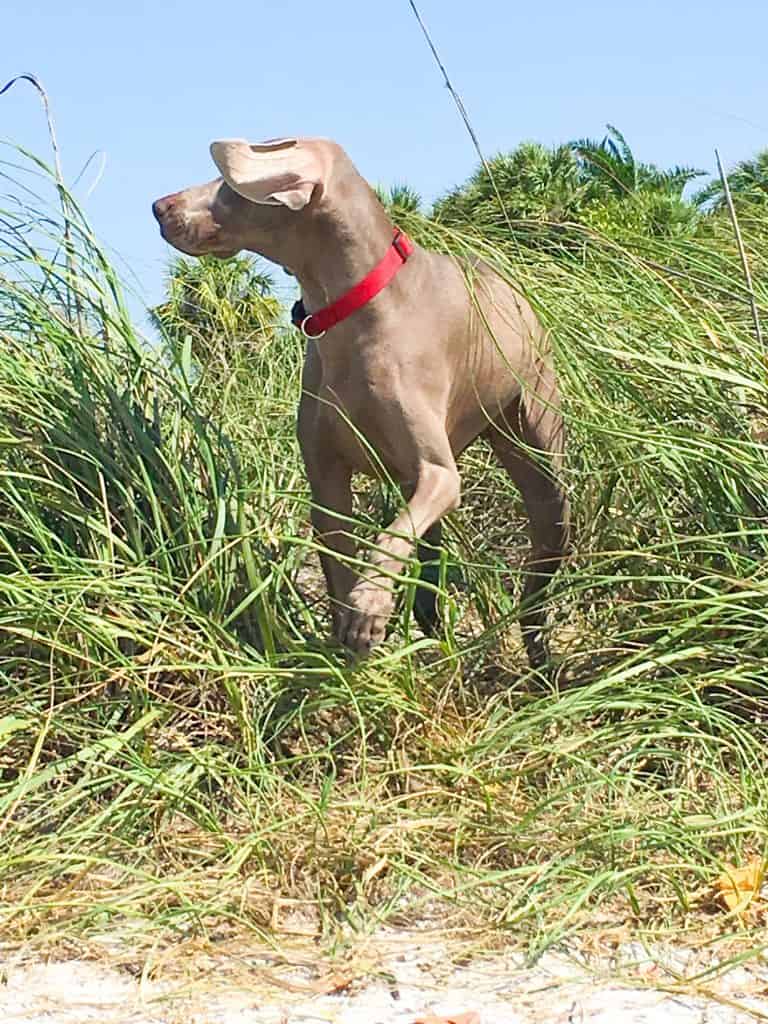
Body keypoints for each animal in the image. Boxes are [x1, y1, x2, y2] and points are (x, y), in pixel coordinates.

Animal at [151, 136, 573, 667]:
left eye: (226, 184)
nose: (158, 206)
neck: (348, 312)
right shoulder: (327, 479)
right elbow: (341, 560)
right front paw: (350, 647)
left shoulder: (438, 473)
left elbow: (388, 538)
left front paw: (368, 609)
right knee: (429, 565)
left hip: (540, 457)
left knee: (536, 570)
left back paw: (538, 656)